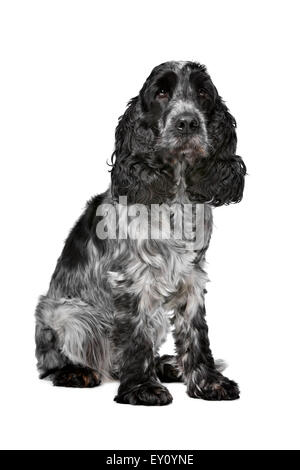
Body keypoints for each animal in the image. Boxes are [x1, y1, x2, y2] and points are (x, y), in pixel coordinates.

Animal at [35, 61, 246, 404]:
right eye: (160, 92)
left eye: (203, 93)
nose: (187, 123)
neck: (175, 197)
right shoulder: (133, 277)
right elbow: (136, 334)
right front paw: (142, 388)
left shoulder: (193, 275)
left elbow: (196, 333)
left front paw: (209, 382)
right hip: (65, 313)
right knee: (53, 361)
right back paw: (78, 372)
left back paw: (167, 366)